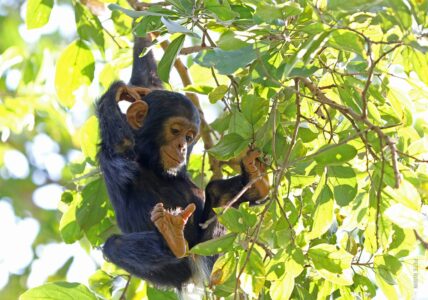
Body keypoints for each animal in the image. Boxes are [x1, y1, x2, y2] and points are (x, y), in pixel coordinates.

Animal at [98, 36, 270, 290]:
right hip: (176, 270)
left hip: (212, 250)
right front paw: (116, 92)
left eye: (189, 137)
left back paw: (254, 180)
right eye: (176, 130)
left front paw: (146, 32)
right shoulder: (115, 153)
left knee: (216, 193)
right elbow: (121, 142)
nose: (181, 147)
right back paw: (173, 238)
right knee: (113, 245)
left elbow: (147, 76)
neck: (150, 161)